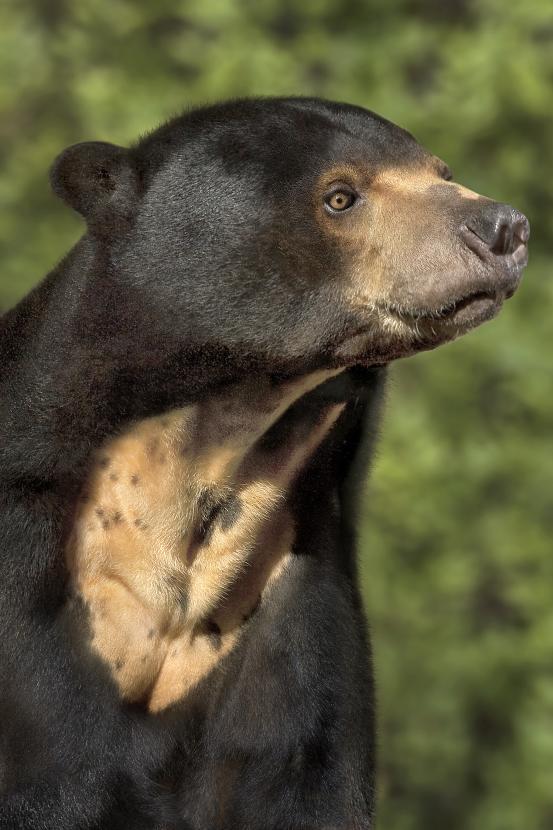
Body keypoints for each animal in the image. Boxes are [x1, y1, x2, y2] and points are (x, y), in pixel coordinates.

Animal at [0, 97, 529, 829]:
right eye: (340, 196)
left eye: (442, 172)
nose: (505, 227)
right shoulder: (31, 570)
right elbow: (55, 764)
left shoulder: (286, 581)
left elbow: (304, 768)